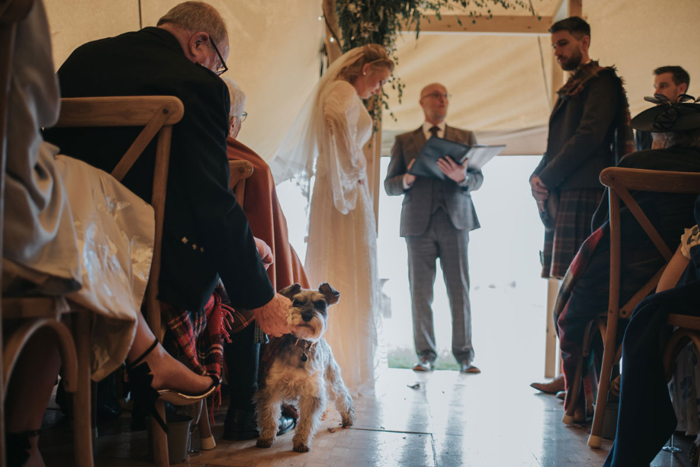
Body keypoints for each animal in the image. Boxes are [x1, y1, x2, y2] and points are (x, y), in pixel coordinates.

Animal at [254, 284, 352, 452]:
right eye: (297, 302)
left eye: (320, 304)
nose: (306, 315)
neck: (302, 345)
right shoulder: (271, 387)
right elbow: (269, 415)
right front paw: (266, 438)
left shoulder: (312, 391)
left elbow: (307, 419)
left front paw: (301, 441)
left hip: (332, 380)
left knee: (343, 396)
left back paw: (348, 419)